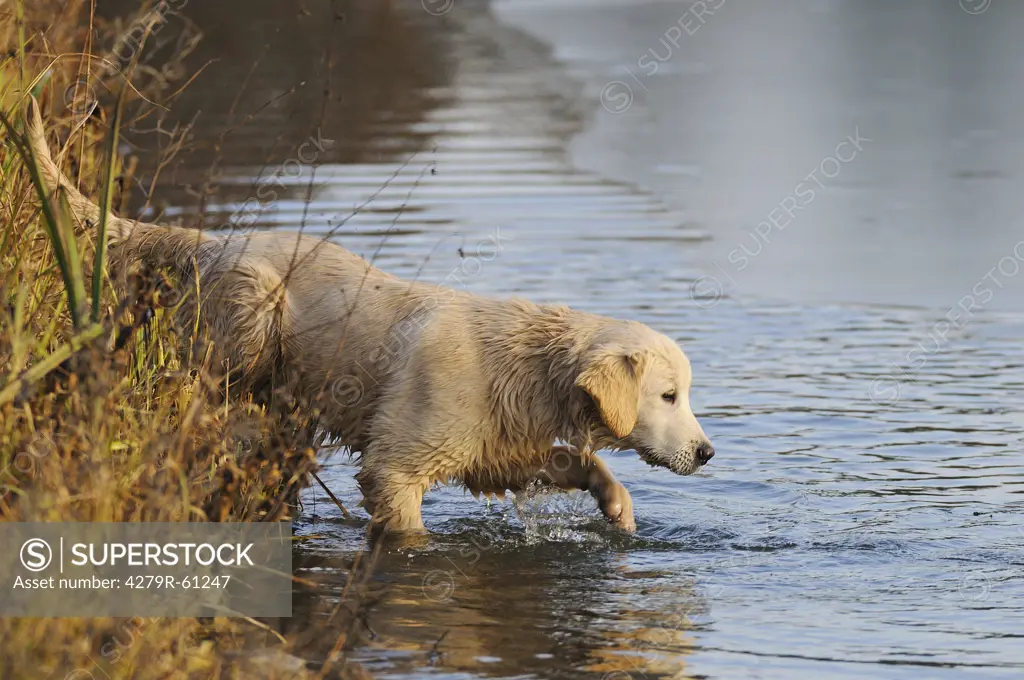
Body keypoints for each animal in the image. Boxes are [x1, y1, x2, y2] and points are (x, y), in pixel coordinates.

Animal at [24, 100, 712, 532]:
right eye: (669, 395)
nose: (707, 454)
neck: (524, 366)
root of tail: (214, 242)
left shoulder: (492, 451)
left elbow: (575, 460)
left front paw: (618, 506)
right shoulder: (397, 464)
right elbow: (405, 523)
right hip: (252, 314)